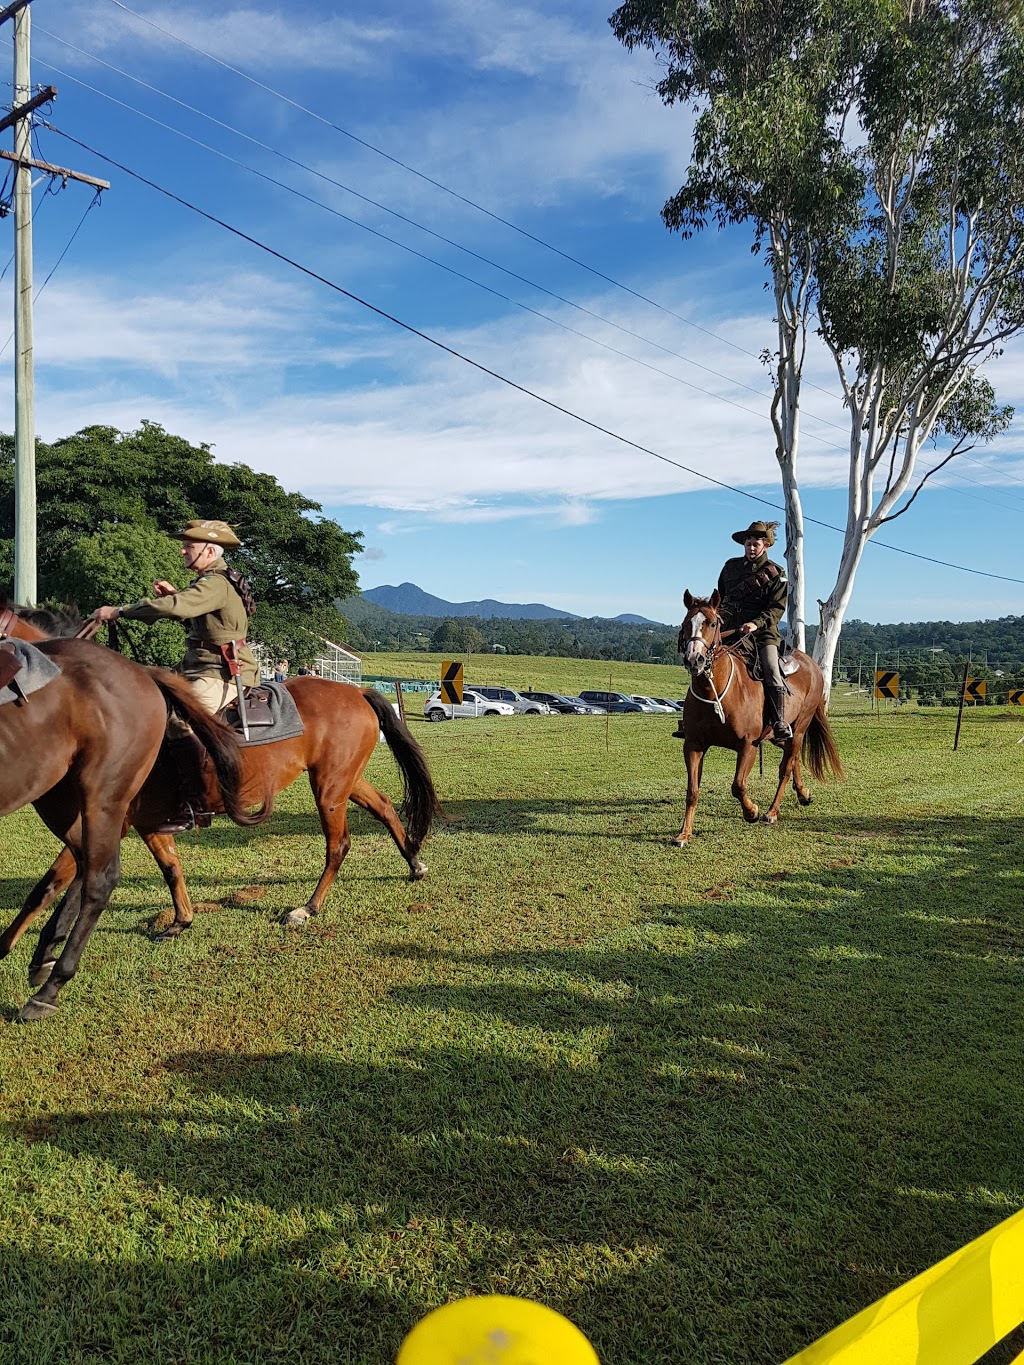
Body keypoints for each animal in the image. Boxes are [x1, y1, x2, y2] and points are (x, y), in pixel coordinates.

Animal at [0, 603, 442, 955]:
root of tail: (356, 692)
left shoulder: (109, 819)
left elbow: (48, 885)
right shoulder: (145, 820)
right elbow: (170, 866)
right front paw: (180, 921)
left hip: (329, 787)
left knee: (338, 845)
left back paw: (307, 908)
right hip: (343, 779)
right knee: (384, 806)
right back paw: (415, 863)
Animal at [674, 592, 841, 846]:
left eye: (711, 623)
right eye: (685, 624)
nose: (695, 660)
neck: (715, 692)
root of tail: (813, 666)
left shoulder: (748, 746)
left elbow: (738, 785)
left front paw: (751, 811)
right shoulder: (693, 745)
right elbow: (692, 791)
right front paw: (684, 833)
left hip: (799, 729)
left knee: (785, 767)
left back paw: (772, 812)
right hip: (778, 735)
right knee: (792, 758)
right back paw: (803, 794)